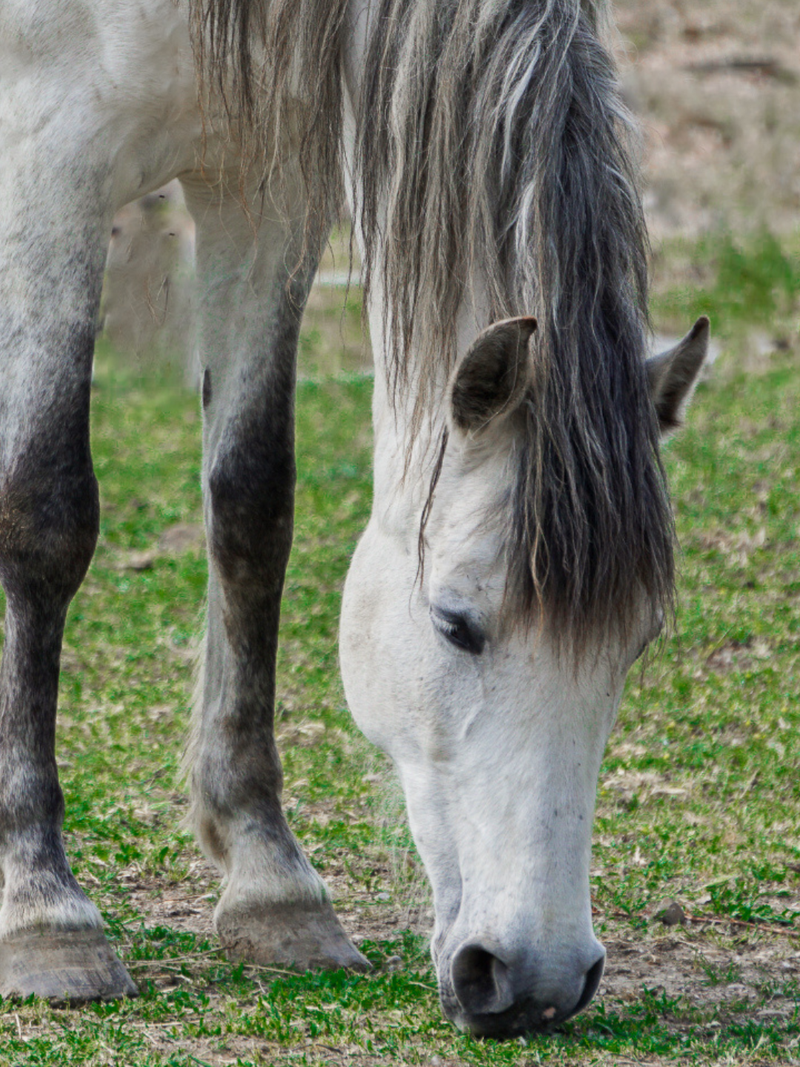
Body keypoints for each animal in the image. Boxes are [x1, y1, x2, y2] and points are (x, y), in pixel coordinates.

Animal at [0, 0, 709, 1038]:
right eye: (455, 624)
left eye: (637, 643)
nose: (535, 980)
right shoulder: (49, 164)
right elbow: (44, 516)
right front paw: (40, 907)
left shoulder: (259, 181)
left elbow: (252, 505)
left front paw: (272, 885)